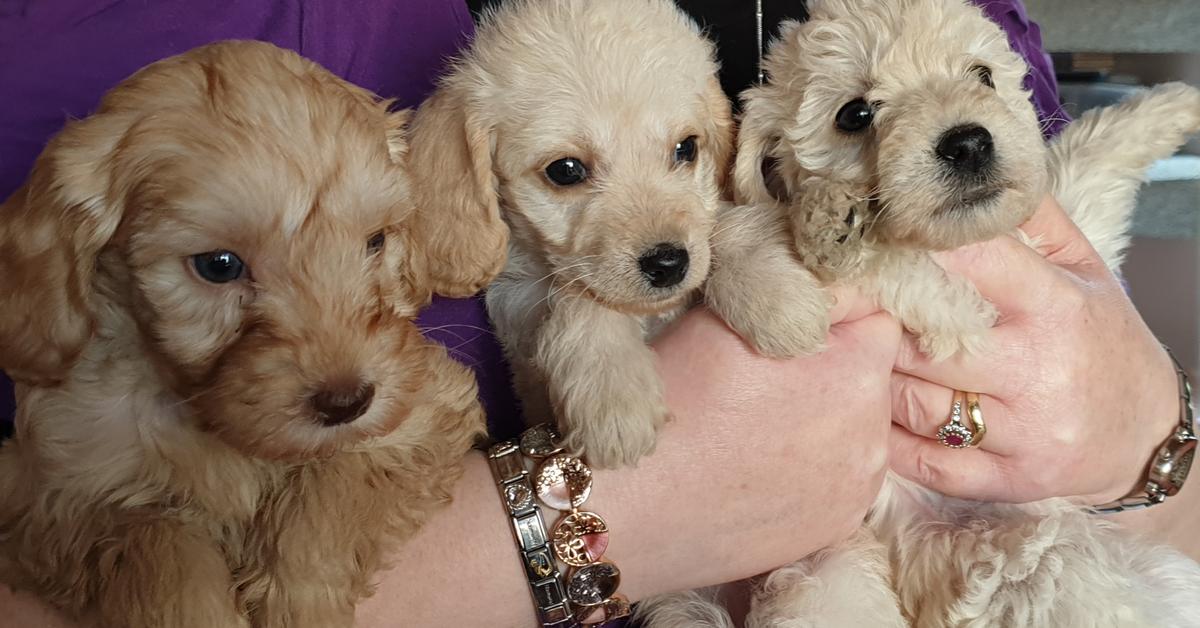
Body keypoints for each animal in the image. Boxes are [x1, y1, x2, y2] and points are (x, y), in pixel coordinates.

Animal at [0, 40, 492, 628]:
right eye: (219, 265)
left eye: (375, 242)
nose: (346, 402)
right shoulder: (51, 496)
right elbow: (156, 546)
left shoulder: (421, 411)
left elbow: (330, 486)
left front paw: (303, 603)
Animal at [408, 0, 734, 468]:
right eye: (565, 170)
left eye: (686, 148)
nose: (669, 263)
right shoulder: (520, 307)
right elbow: (577, 296)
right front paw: (613, 395)